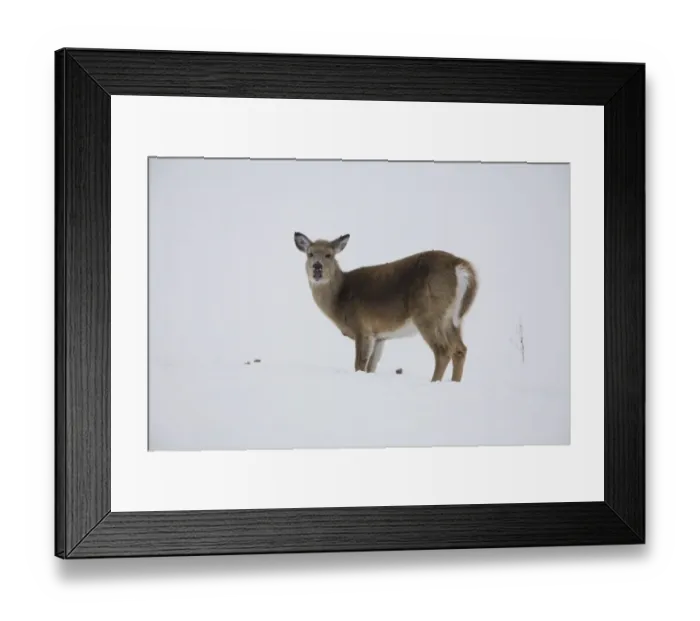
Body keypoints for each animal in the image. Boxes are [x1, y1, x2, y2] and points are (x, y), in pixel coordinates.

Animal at [294, 232, 478, 382]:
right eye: (310, 254)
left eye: (329, 255)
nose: (317, 267)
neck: (340, 298)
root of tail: (458, 265)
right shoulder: (379, 336)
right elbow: (371, 367)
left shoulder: (362, 328)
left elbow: (359, 365)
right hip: (452, 318)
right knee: (460, 349)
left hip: (428, 313)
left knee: (443, 350)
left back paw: (434, 382)